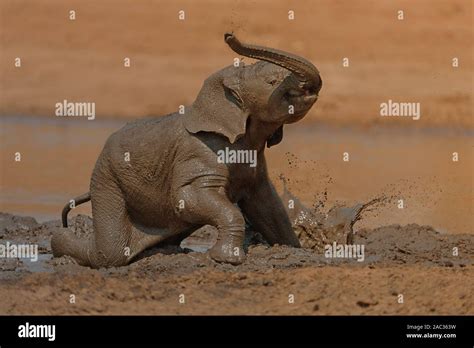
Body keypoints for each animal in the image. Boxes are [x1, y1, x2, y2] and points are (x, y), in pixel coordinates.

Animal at [51, 32, 322, 266]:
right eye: (272, 82)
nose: (229, 35)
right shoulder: (200, 152)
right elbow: (187, 196)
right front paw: (228, 259)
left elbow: (266, 204)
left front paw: (295, 249)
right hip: (107, 179)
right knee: (111, 252)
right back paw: (60, 241)